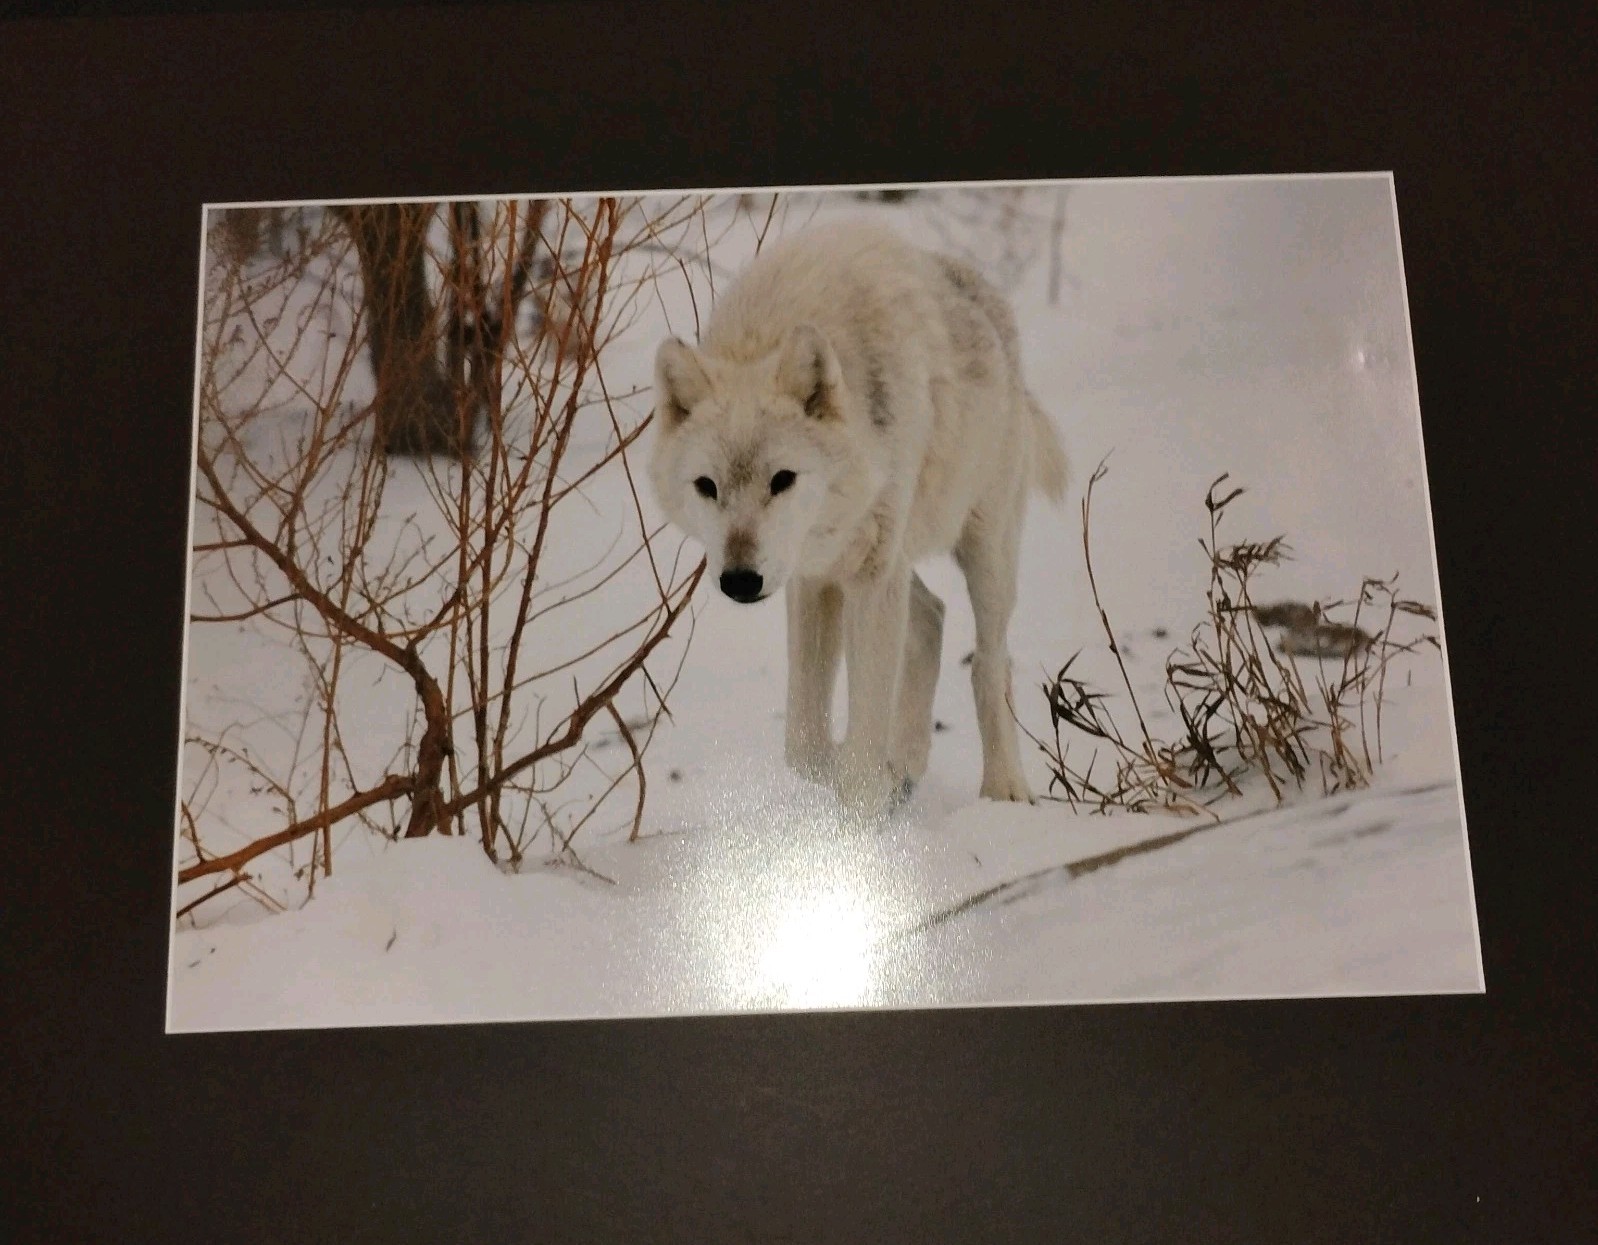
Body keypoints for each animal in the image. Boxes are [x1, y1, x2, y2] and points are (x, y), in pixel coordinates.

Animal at [647, 219, 1069, 815]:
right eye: (707, 487)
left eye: (782, 479)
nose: (740, 581)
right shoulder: (814, 576)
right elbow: (803, 744)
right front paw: (849, 781)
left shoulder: (867, 575)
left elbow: (865, 725)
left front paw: (861, 802)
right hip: (892, 563)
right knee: (932, 617)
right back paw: (907, 766)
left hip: (983, 553)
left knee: (991, 664)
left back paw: (1004, 789)